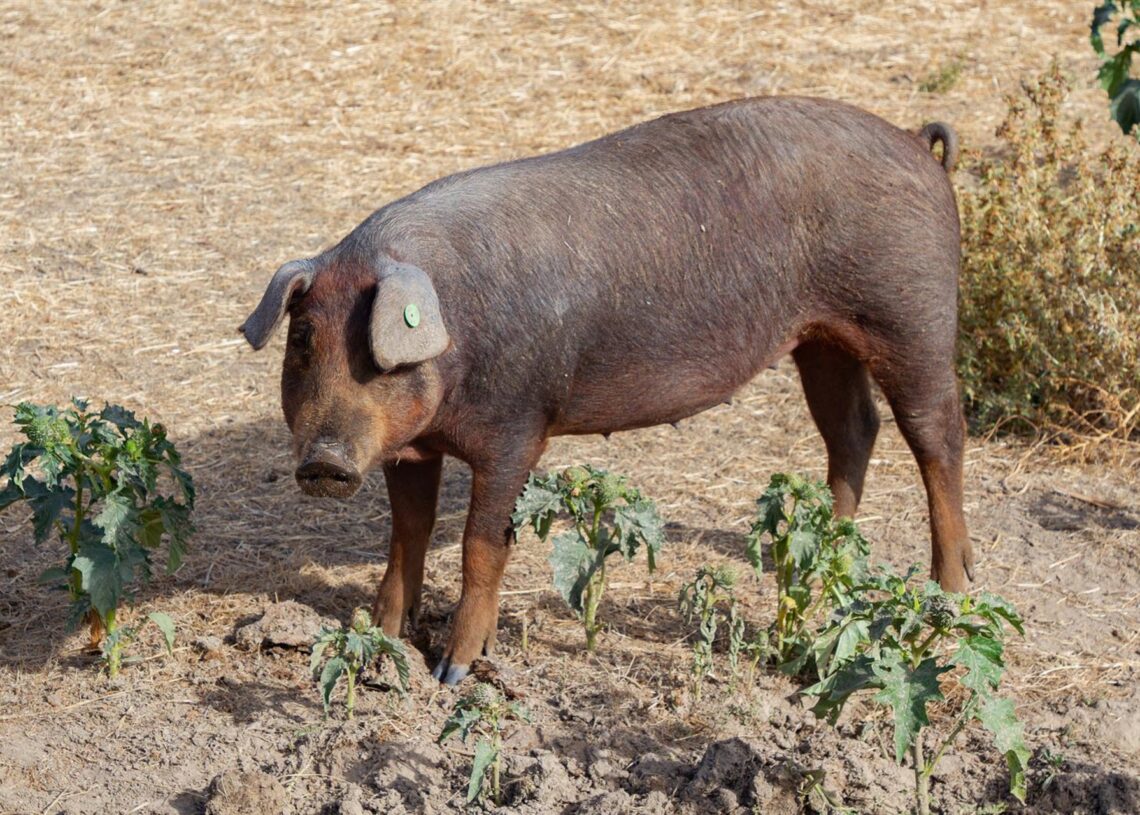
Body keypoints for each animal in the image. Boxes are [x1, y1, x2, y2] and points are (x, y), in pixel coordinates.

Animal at [240, 96, 971, 685]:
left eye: (378, 353)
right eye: (302, 340)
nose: (324, 461)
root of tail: (915, 142)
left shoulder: (517, 430)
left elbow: (482, 545)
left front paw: (451, 672)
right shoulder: (411, 448)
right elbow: (406, 535)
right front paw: (376, 637)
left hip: (912, 315)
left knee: (937, 434)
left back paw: (954, 590)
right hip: (819, 339)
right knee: (853, 431)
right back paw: (815, 555)